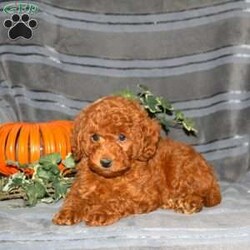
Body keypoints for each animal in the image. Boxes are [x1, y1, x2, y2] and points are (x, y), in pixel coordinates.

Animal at [52, 95, 221, 227]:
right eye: (94, 137)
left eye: (122, 137)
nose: (105, 162)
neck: (109, 177)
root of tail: (211, 177)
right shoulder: (80, 187)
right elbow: (74, 199)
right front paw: (67, 212)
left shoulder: (142, 196)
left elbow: (117, 199)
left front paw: (99, 212)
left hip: (181, 169)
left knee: (198, 195)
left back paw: (186, 202)